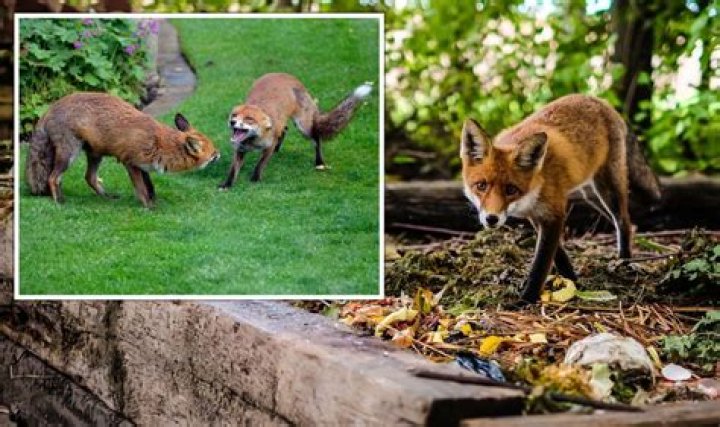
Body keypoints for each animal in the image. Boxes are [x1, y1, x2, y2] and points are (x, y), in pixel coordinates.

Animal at [26, 92, 220, 208]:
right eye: (212, 153)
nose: (219, 154)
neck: (161, 143)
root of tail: (50, 109)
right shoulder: (130, 163)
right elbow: (141, 189)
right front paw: (148, 207)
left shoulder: (144, 165)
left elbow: (150, 186)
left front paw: (153, 201)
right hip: (69, 155)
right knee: (53, 178)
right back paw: (59, 201)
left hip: (95, 154)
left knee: (89, 178)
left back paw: (107, 197)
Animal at [219, 72, 372, 188]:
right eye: (234, 115)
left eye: (249, 119)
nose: (232, 122)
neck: (253, 141)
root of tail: (288, 76)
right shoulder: (239, 149)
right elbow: (232, 171)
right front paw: (226, 185)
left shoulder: (268, 147)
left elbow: (259, 165)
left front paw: (255, 179)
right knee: (285, 130)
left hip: (304, 127)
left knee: (316, 139)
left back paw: (319, 163)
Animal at [460, 94, 662, 305]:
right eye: (481, 186)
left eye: (510, 190)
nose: (491, 219)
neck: (537, 182)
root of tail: (600, 101)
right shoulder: (537, 215)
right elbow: (558, 253)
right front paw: (571, 279)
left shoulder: (554, 213)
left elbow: (541, 264)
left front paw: (527, 299)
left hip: (609, 188)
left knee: (625, 221)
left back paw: (625, 260)